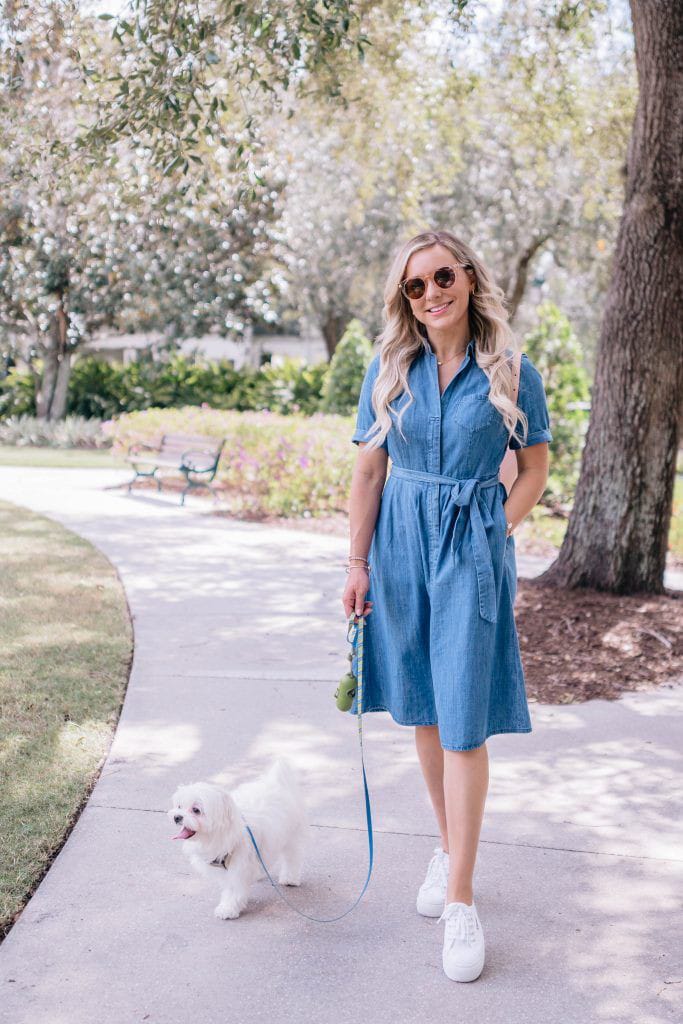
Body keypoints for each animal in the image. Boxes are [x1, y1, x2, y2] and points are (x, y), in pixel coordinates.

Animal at [169, 761, 309, 921]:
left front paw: (228, 908)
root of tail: (277, 782)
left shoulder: (238, 865)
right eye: (179, 806)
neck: (217, 835)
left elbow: (234, 889)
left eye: (196, 810)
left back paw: (289, 878)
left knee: (292, 857)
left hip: (292, 836)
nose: (177, 817)